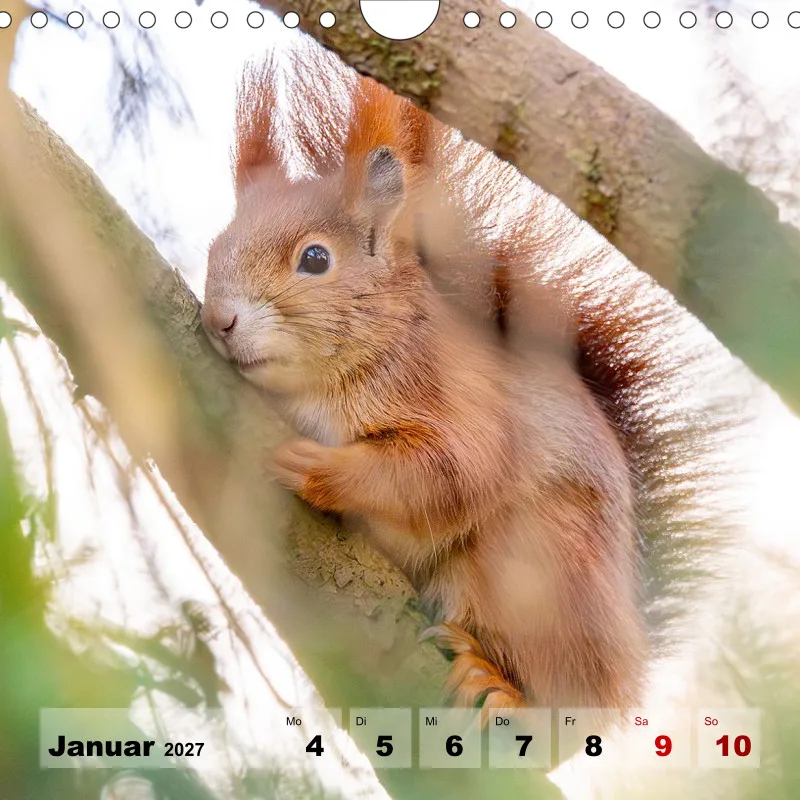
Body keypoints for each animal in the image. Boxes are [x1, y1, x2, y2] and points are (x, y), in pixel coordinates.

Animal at [201, 45, 740, 714]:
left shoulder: (462, 403)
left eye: (316, 259)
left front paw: (319, 467)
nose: (219, 320)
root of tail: (624, 666)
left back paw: (500, 685)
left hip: (538, 567)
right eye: (213, 248)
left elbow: (448, 472)